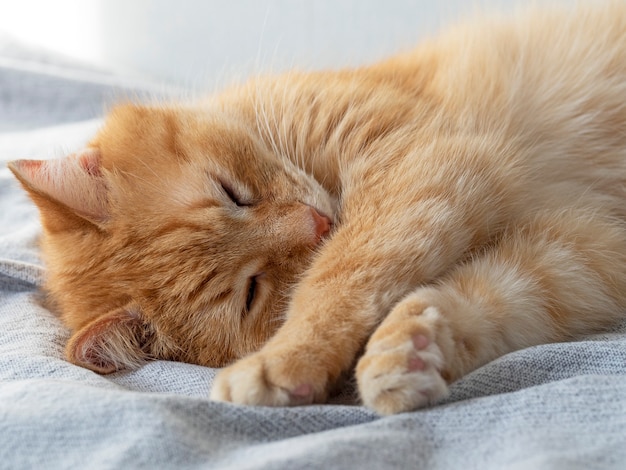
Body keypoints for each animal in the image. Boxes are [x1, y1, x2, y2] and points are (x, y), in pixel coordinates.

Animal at [7, 2, 624, 414]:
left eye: (231, 192)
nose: (321, 223)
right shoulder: (579, 251)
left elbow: (339, 276)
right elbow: (495, 298)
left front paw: (286, 357)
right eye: (251, 292)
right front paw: (412, 351)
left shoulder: (426, 161)